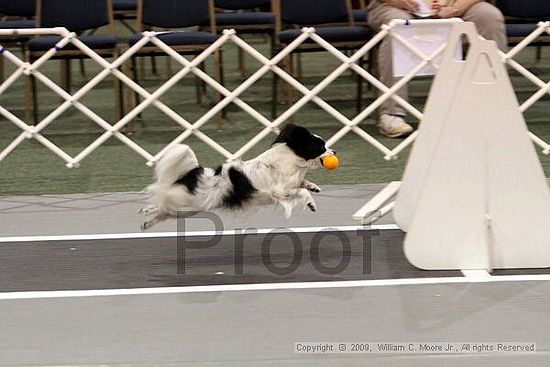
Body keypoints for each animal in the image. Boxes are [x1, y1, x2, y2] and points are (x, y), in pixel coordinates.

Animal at [140, 123, 334, 230]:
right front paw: (310, 202)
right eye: (321, 147)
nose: (334, 152)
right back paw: (147, 210)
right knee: (162, 202)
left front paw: (313, 187)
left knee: (164, 210)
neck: (293, 158)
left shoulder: (293, 182)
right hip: (188, 205)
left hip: (186, 209)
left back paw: (146, 221)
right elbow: (300, 192)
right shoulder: (280, 191)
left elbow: (303, 183)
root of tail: (193, 174)